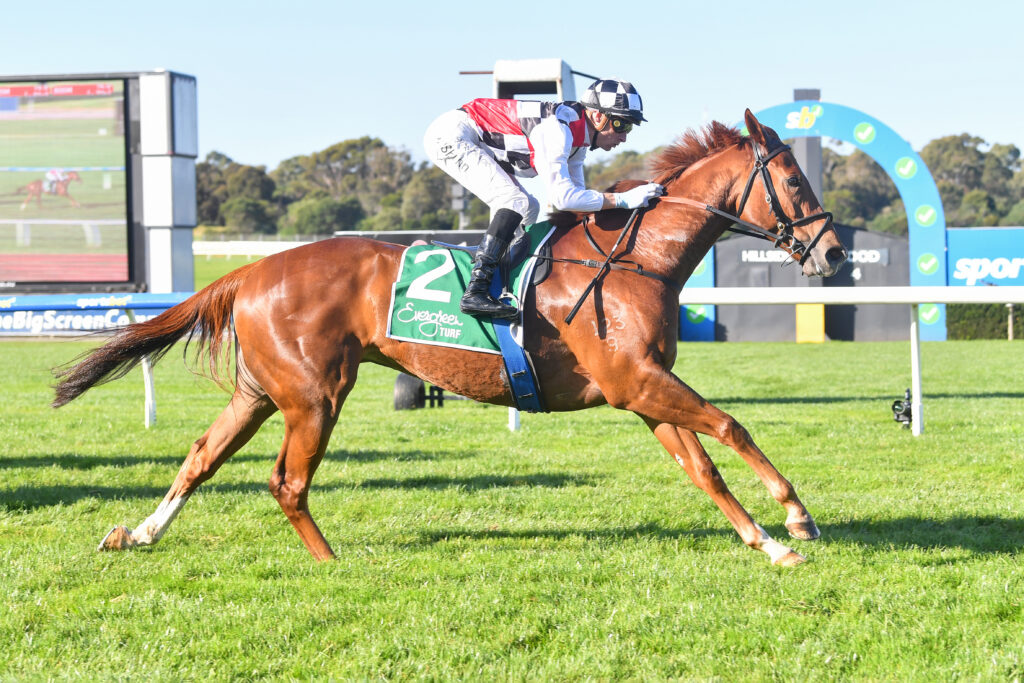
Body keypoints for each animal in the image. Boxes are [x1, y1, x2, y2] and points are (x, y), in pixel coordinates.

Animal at [52, 110, 848, 567]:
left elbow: (703, 466)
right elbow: (732, 424)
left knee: (201, 457)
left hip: (260, 390)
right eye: (794, 182)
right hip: (314, 394)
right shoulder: (639, 382)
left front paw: (766, 542)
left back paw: (138, 534)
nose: (835, 255)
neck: (634, 257)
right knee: (287, 481)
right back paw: (330, 560)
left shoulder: (642, 389)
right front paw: (796, 517)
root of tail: (250, 270)